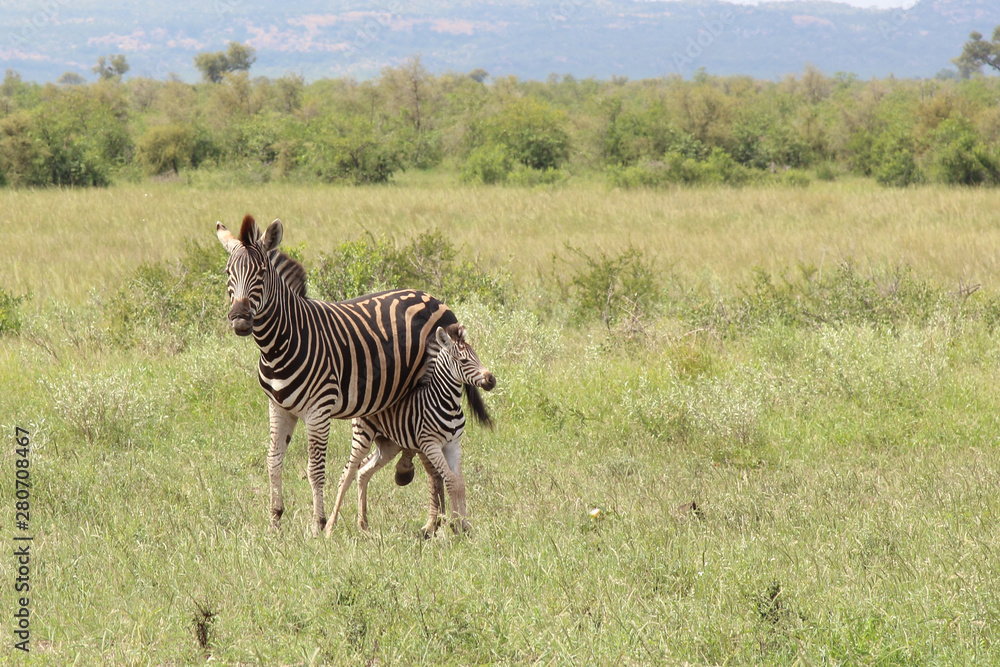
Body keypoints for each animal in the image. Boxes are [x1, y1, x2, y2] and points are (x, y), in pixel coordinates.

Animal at [216, 214, 462, 536]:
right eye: (228, 273)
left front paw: (318, 525)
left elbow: (314, 468)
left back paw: (434, 521)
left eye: (261, 273)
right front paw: (274, 521)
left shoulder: (318, 411)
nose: (240, 319)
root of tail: (432, 297)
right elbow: (274, 461)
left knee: (432, 459)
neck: (280, 343)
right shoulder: (278, 407)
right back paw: (432, 514)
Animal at [329, 323, 495, 536]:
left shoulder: (453, 444)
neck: (448, 403)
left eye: (476, 356)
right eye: (464, 360)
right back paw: (329, 527)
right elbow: (451, 481)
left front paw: (464, 525)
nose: (491, 380)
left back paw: (363, 525)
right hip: (362, 436)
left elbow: (460, 483)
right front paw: (456, 526)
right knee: (347, 474)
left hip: (388, 445)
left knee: (364, 471)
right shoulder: (431, 444)